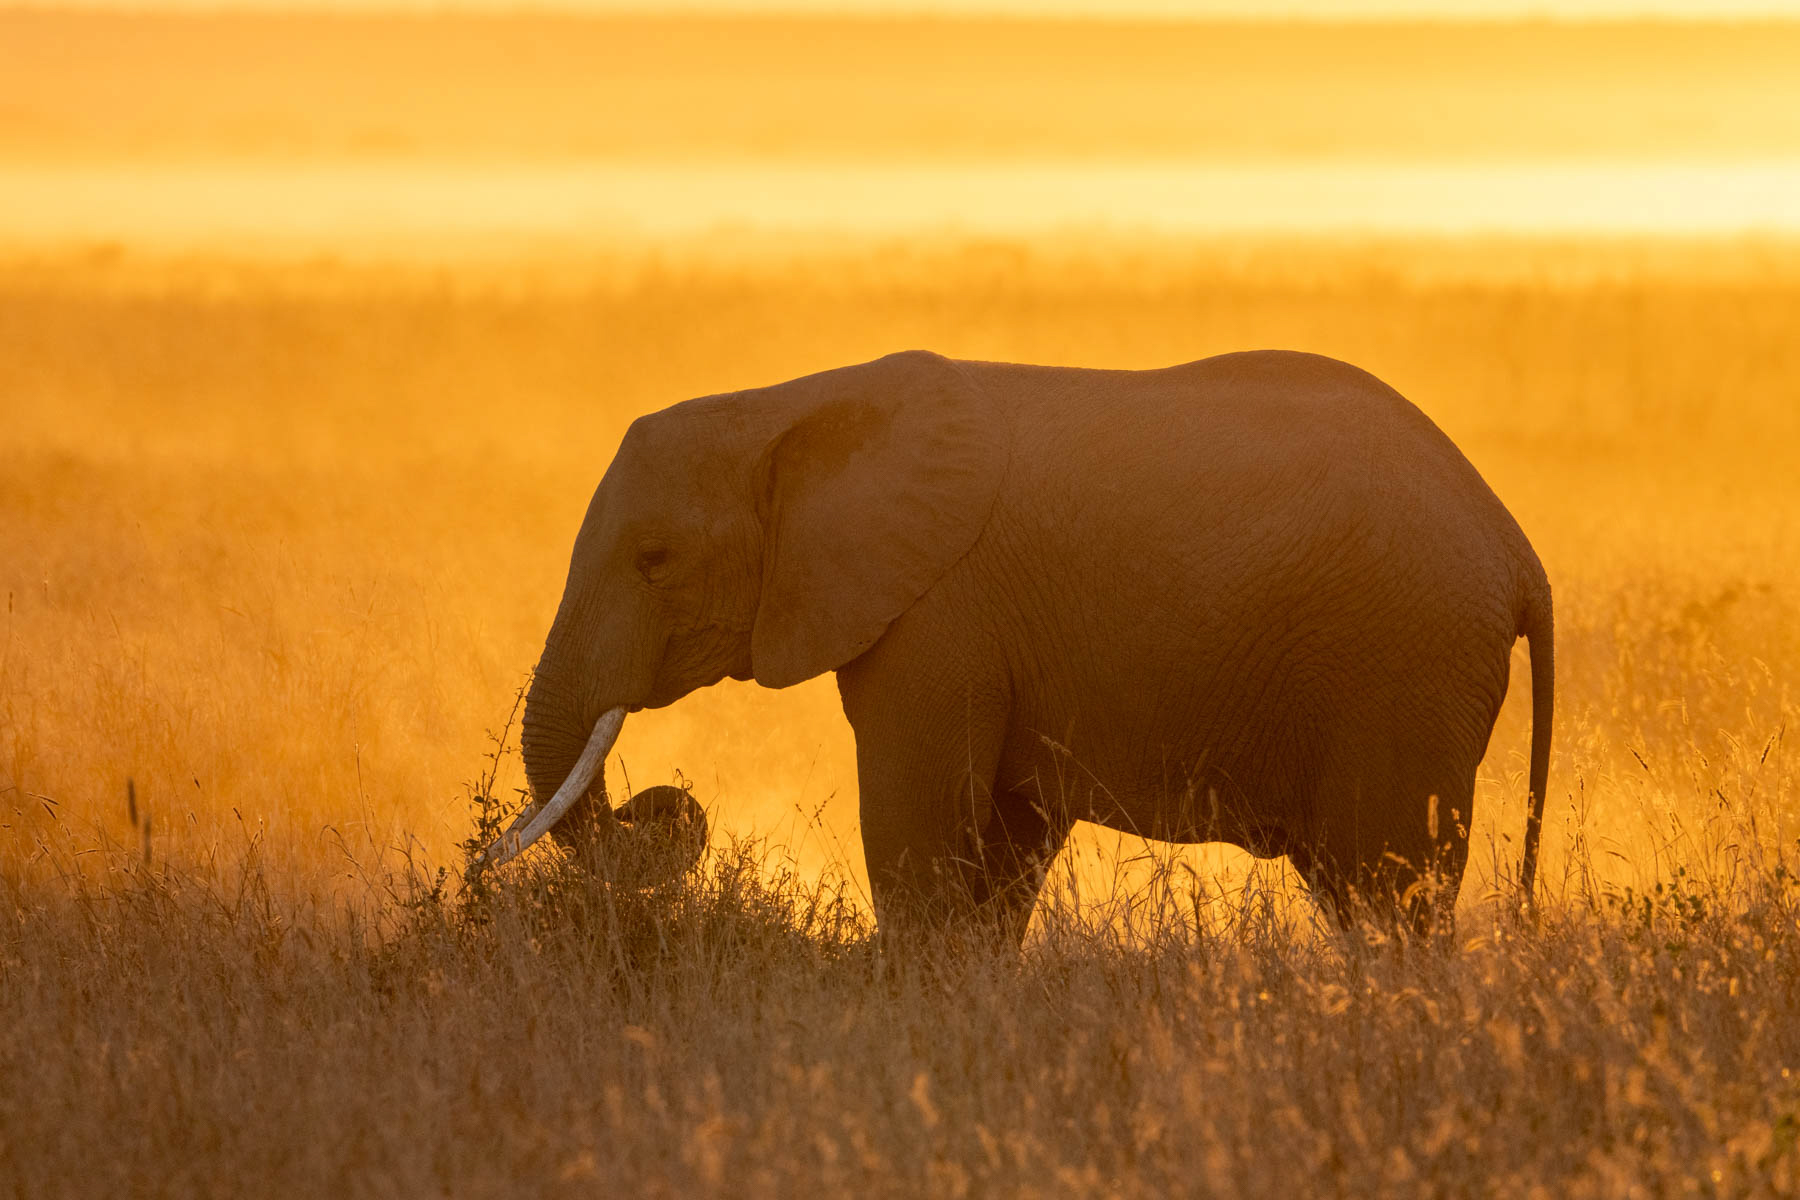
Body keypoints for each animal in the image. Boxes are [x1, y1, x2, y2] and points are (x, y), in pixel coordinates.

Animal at [472, 349, 1553, 943]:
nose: (665, 808)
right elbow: (1005, 838)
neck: (788, 408)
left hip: (1403, 671)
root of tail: (1515, 547)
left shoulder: (938, 616)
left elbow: (914, 822)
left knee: (1388, 888)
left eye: (654, 561)